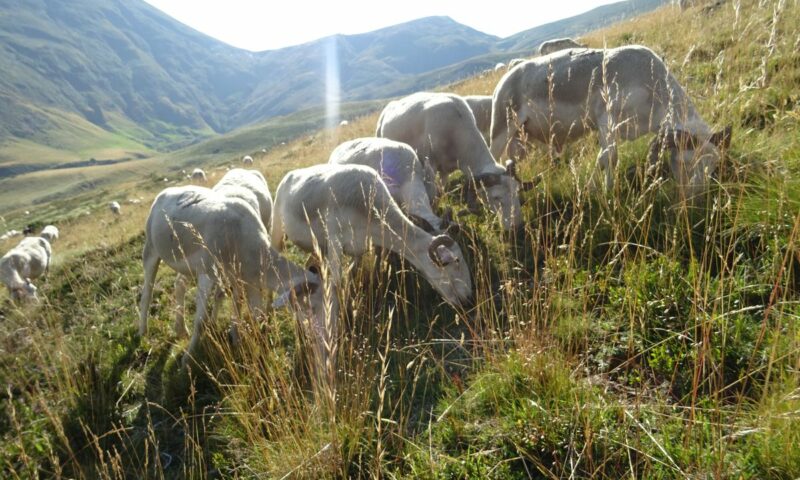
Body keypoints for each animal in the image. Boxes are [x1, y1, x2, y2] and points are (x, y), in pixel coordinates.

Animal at [139, 186, 326, 366]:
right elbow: (200, 321)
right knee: (147, 291)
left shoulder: (242, 278)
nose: (322, 339)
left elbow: (245, 308)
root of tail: (166, 191)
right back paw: (143, 330)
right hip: (151, 248)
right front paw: (188, 359)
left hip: (186, 264)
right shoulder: (209, 273)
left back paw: (181, 328)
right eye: (312, 306)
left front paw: (239, 340)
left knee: (179, 284)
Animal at [376, 92, 532, 232]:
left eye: (517, 191)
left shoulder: (445, 170)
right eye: (496, 197)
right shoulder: (431, 165)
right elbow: (435, 194)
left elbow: (441, 192)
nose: (518, 226)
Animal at [488, 46, 732, 200]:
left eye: (712, 164)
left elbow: (608, 158)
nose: (697, 197)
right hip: (501, 130)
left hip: (519, 141)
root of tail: (505, 79)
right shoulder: (607, 123)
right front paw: (601, 190)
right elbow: (608, 158)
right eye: (686, 162)